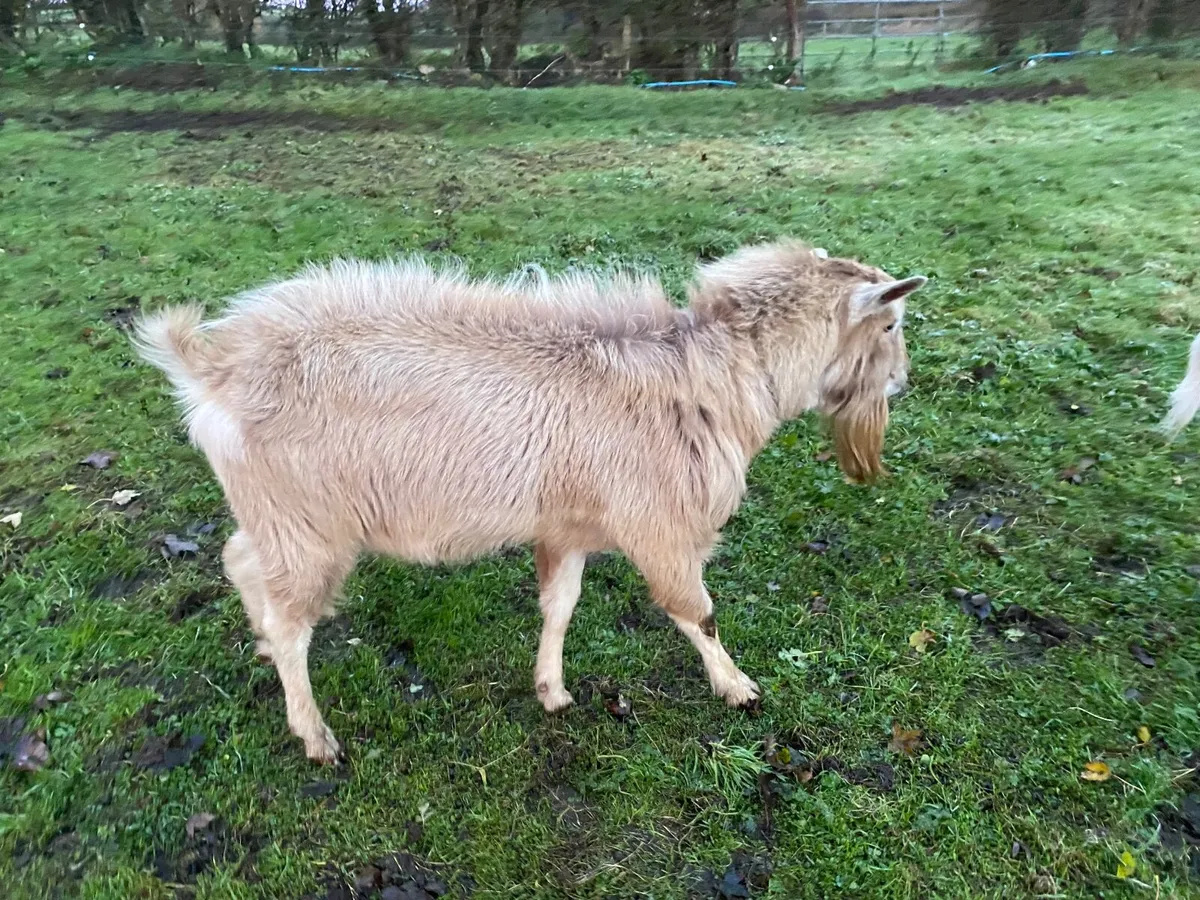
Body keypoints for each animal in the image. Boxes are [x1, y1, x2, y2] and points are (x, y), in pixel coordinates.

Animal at [134, 240, 926, 763]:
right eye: (890, 325)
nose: (902, 383)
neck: (710, 374)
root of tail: (211, 370)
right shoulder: (661, 527)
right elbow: (694, 612)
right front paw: (737, 687)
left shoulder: (567, 523)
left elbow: (560, 604)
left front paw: (552, 690)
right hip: (308, 527)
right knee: (291, 619)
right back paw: (315, 733)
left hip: (275, 520)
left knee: (242, 563)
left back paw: (264, 642)